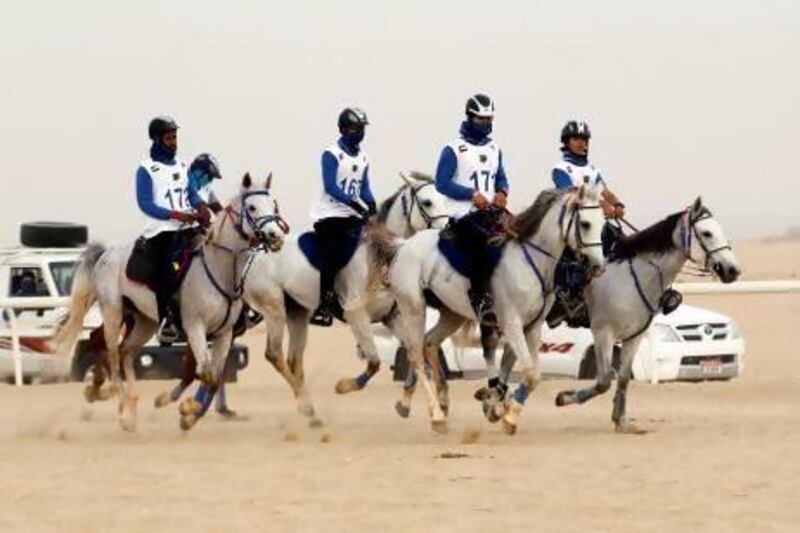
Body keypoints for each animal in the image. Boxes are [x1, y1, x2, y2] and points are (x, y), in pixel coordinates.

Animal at [53, 172, 286, 430]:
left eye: (274, 204)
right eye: (252, 207)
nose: (276, 236)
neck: (219, 269)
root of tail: (105, 254)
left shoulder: (223, 334)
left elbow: (213, 377)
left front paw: (193, 412)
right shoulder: (195, 327)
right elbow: (202, 373)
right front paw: (184, 409)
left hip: (144, 320)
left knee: (124, 350)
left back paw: (125, 403)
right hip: (113, 311)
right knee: (112, 353)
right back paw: (117, 404)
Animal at [388, 183, 608, 432]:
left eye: (602, 222)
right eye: (585, 224)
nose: (598, 266)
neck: (530, 262)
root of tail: (404, 245)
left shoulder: (532, 326)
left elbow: (533, 374)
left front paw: (504, 408)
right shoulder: (511, 323)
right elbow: (528, 372)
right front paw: (506, 414)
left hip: (452, 313)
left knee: (430, 343)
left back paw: (436, 402)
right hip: (413, 307)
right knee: (415, 355)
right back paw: (433, 414)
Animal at [548, 195, 740, 432]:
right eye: (707, 233)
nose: (733, 270)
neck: (629, 278)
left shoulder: (634, 336)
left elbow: (622, 379)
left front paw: (621, 421)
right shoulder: (603, 333)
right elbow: (604, 381)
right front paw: (564, 398)